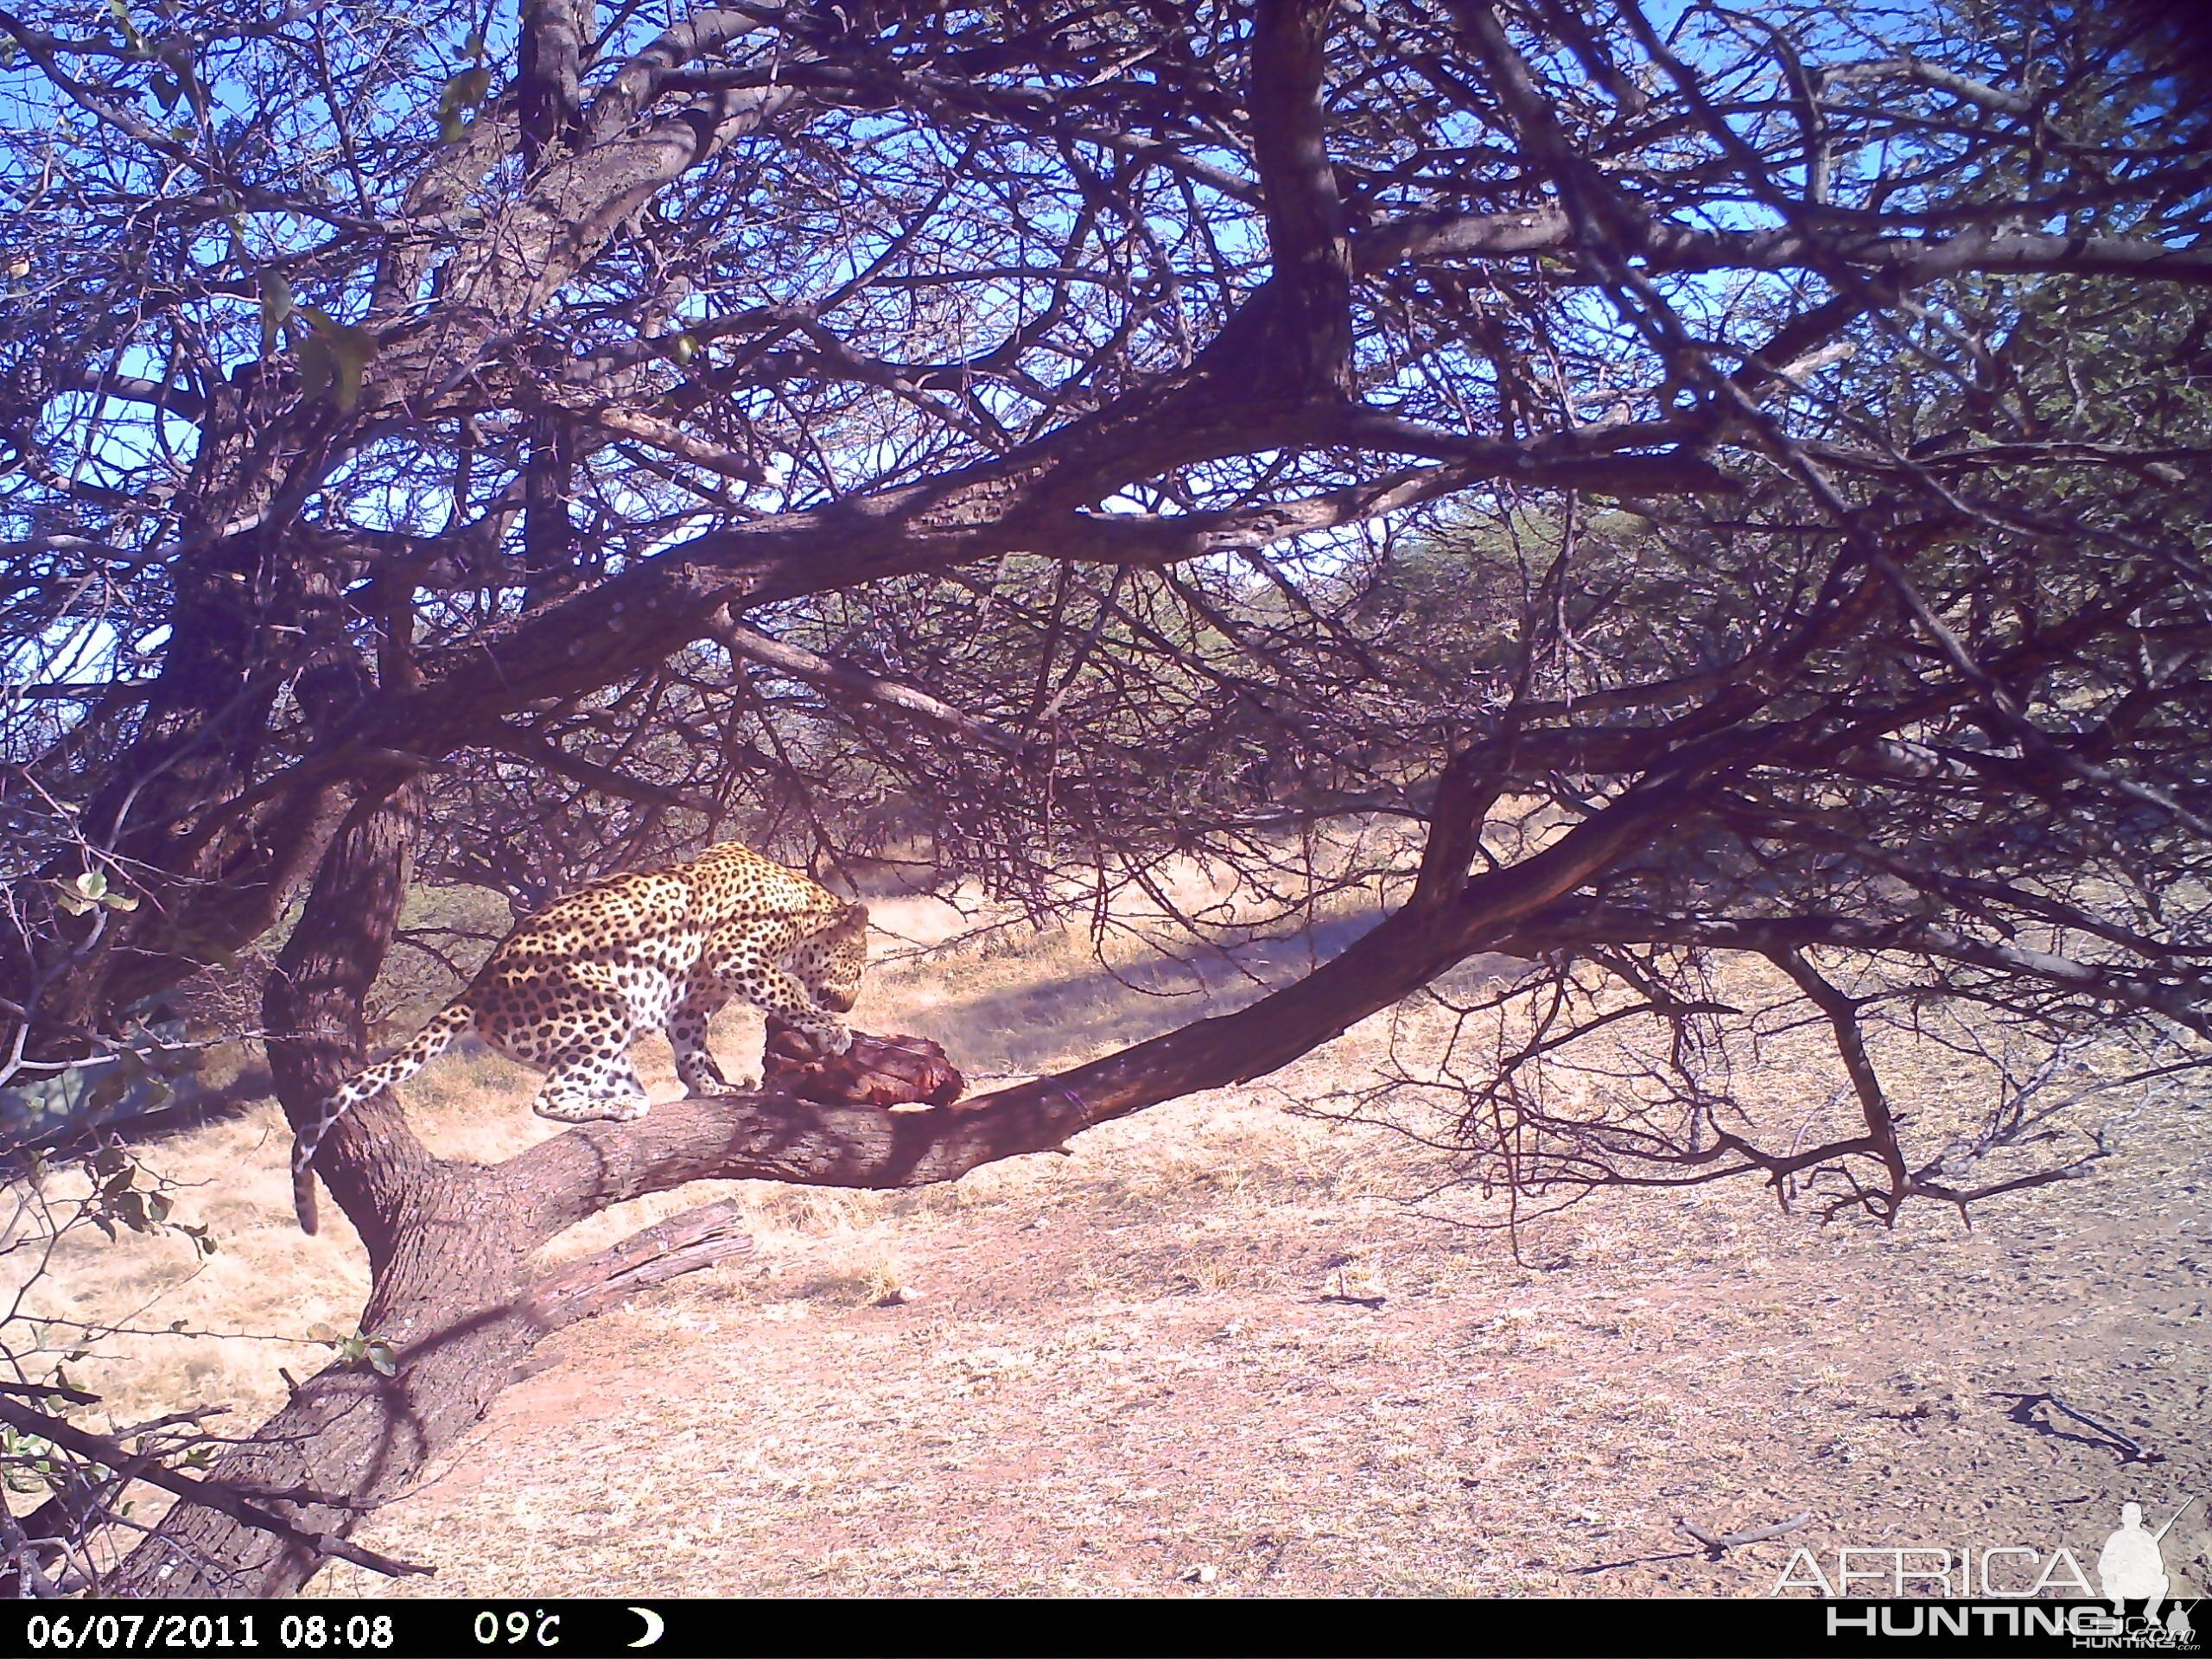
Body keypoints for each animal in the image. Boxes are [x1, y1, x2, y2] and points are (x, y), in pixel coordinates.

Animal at [298, 844, 867, 1238]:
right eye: (858, 966)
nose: (850, 1005)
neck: (799, 905)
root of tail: (475, 990)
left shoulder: (691, 1001)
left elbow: (691, 1050)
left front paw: (716, 1089)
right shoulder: (738, 953)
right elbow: (786, 992)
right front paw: (829, 1030)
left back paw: (628, 1098)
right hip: (601, 1007)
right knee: (548, 1097)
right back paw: (619, 1109)